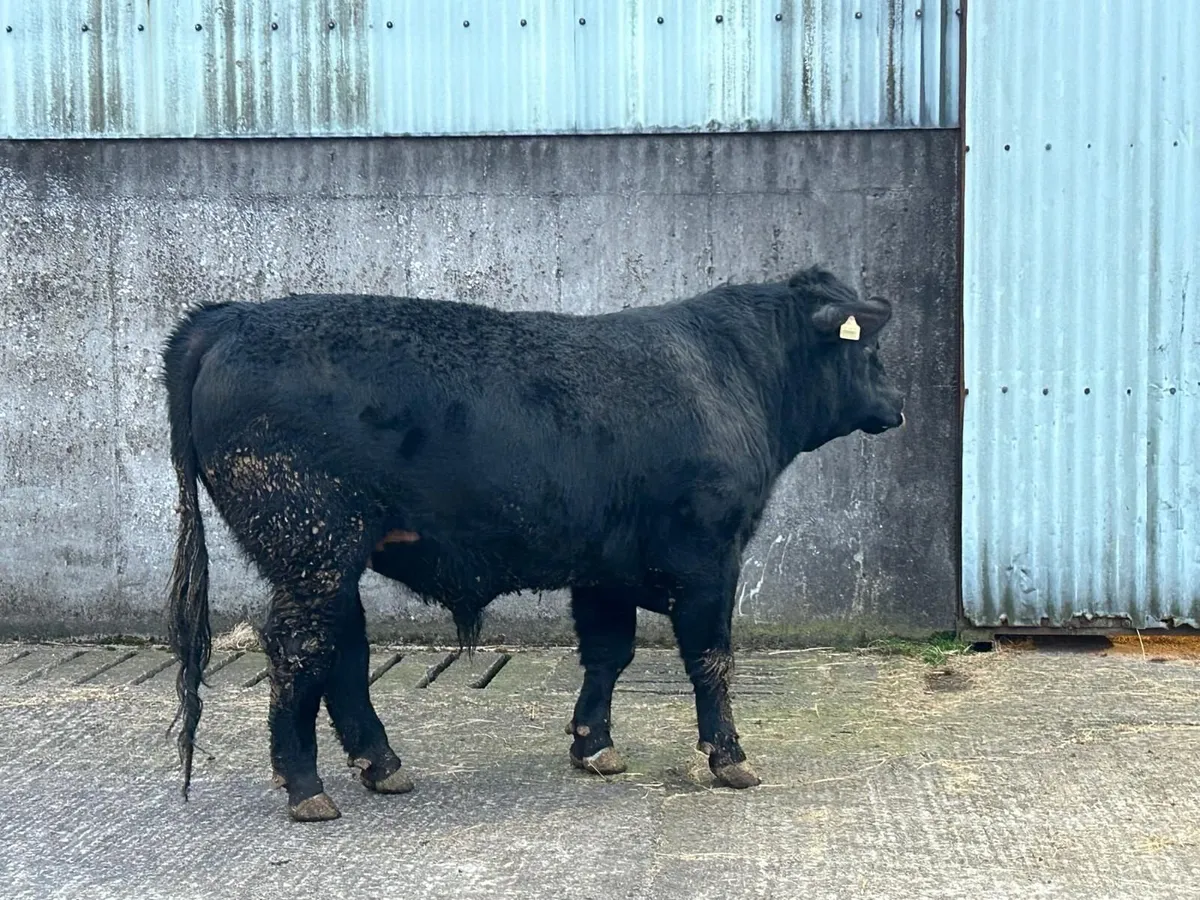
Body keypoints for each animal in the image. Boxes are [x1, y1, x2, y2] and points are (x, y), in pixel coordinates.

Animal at [162, 266, 905, 822]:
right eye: (870, 349)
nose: (898, 405)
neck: (733, 374)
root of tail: (227, 318)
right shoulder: (709, 557)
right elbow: (711, 660)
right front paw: (730, 757)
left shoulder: (605, 569)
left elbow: (607, 654)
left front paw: (594, 746)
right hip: (310, 544)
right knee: (299, 649)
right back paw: (306, 789)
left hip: (330, 560)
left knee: (342, 652)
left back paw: (383, 766)